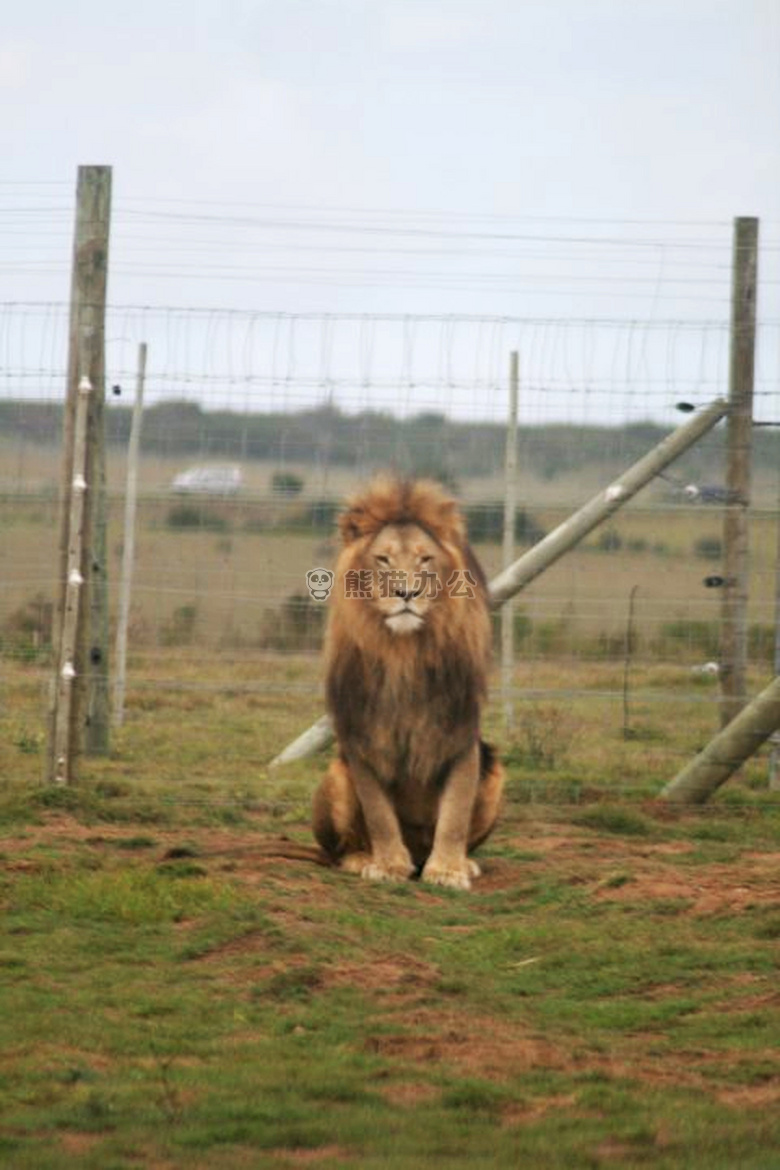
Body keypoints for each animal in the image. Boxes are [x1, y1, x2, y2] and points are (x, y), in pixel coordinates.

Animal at [313, 472, 507, 884]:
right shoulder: (361, 736)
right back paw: (361, 859)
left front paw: (448, 870)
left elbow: (455, 812)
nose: (407, 592)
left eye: (425, 559)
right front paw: (388, 865)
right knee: (337, 850)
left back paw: (461, 862)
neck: (403, 654)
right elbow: (379, 814)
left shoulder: (459, 732)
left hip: (497, 773)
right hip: (336, 774)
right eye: (384, 559)